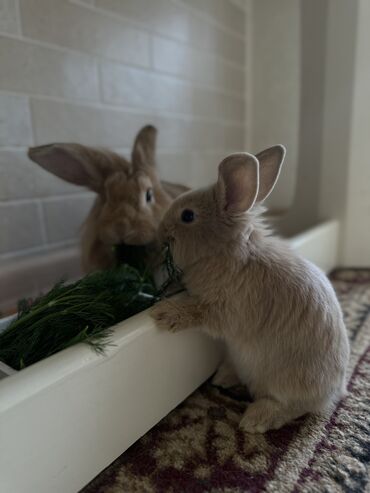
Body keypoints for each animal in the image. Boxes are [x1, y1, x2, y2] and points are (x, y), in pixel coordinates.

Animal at [151, 145, 350, 430]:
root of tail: (336, 392)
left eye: (187, 216)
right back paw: (223, 377)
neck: (227, 252)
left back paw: (254, 420)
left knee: (291, 406)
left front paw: (163, 314)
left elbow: (196, 311)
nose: (159, 232)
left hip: (287, 383)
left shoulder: (225, 310)